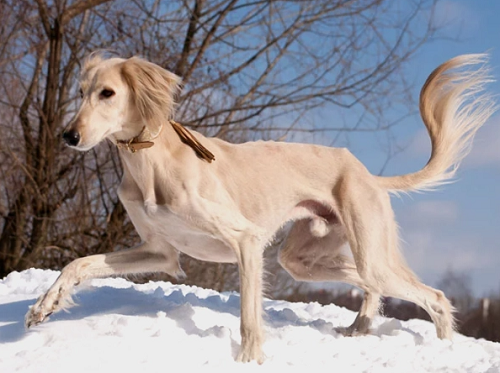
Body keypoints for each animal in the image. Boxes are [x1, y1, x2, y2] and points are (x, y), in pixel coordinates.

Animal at [26, 52, 492, 360]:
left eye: (108, 93)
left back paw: (444, 347)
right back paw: (360, 326)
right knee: (368, 281)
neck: (151, 163)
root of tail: (368, 174)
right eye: (81, 92)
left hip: (363, 251)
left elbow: (249, 319)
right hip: (303, 258)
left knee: (432, 294)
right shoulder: (160, 252)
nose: (69, 135)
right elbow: (79, 264)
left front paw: (249, 361)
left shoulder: (246, 241)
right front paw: (43, 307)